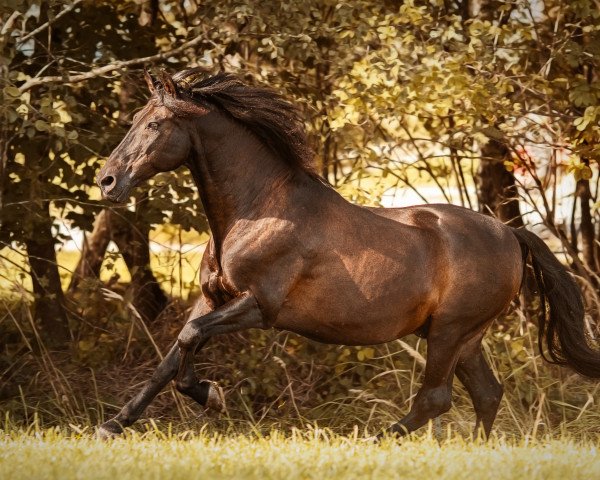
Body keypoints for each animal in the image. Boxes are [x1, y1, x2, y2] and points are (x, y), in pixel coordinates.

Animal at [96, 67, 600, 438]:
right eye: (135, 119)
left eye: (155, 124)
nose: (107, 181)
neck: (256, 210)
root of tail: (511, 234)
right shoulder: (211, 298)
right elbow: (171, 356)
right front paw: (113, 425)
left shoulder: (260, 306)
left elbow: (188, 340)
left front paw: (210, 394)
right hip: (464, 335)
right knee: (487, 394)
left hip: (450, 331)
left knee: (436, 398)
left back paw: (374, 439)